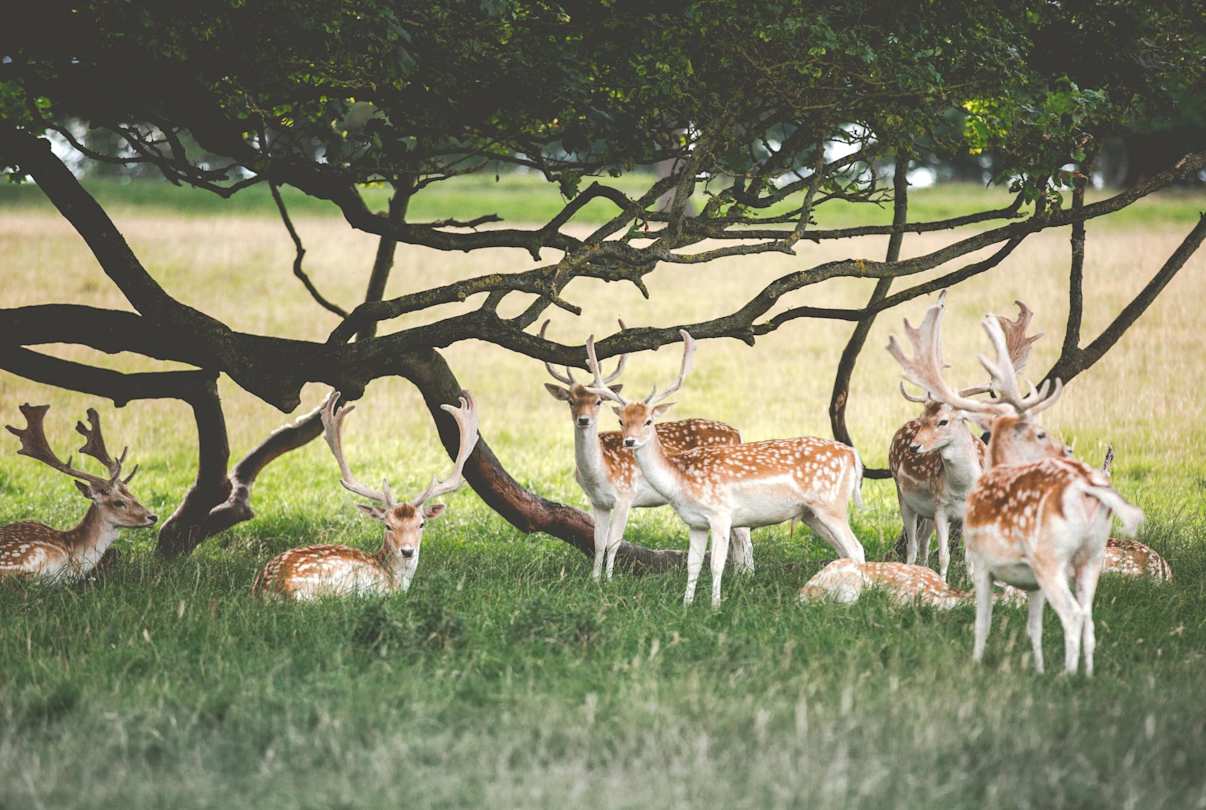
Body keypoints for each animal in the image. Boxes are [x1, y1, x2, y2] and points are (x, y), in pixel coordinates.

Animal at [541, 320, 753, 581]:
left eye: (598, 402)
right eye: (571, 401)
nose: (583, 420)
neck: (599, 472)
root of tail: (737, 433)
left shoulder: (625, 495)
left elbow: (613, 542)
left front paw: (609, 580)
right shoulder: (597, 502)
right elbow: (598, 542)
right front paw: (594, 579)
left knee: (744, 533)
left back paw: (747, 576)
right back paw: (739, 575)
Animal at [588, 330, 865, 607]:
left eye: (648, 421)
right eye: (621, 420)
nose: (629, 441)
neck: (680, 480)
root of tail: (852, 455)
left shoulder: (721, 514)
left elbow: (716, 565)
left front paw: (715, 605)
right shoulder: (695, 523)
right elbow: (693, 565)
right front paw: (686, 605)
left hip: (832, 505)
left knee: (856, 548)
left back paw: (858, 599)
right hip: (810, 513)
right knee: (844, 550)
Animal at [888, 295, 1042, 581]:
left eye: (944, 421)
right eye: (926, 419)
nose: (915, 446)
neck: (961, 490)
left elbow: (970, 559)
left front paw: (970, 583)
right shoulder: (940, 509)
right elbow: (945, 555)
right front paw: (944, 583)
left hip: (924, 510)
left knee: (923, 540)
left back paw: (922, 569)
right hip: (902, 494)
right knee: (913, 544)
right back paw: (911, 569)